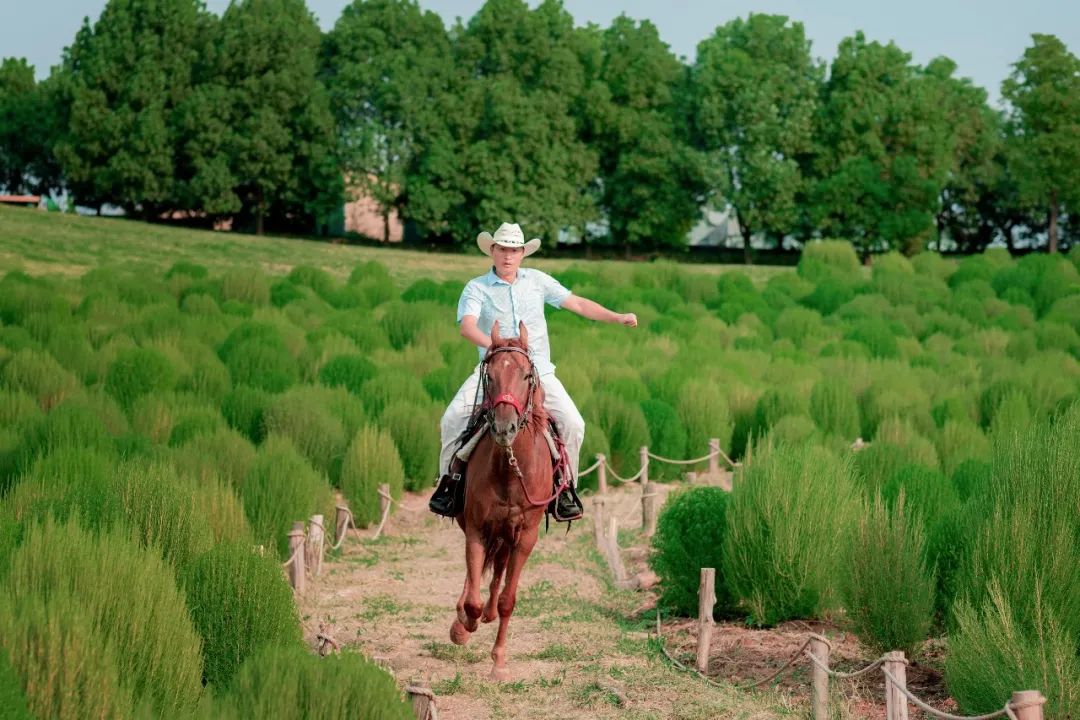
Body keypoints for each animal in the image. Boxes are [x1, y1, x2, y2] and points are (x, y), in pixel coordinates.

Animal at [449, 321, 557, 682]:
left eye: (526, 375)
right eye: (491, 376)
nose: (504, 427)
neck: (510, 468)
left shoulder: (525, 536)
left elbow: (509, 598)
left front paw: (498, 661)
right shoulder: (476, 528)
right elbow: (472, 594)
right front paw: (464, 625)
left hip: (508, 536)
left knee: (497, 572)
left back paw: (490, 614)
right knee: (477, 574)